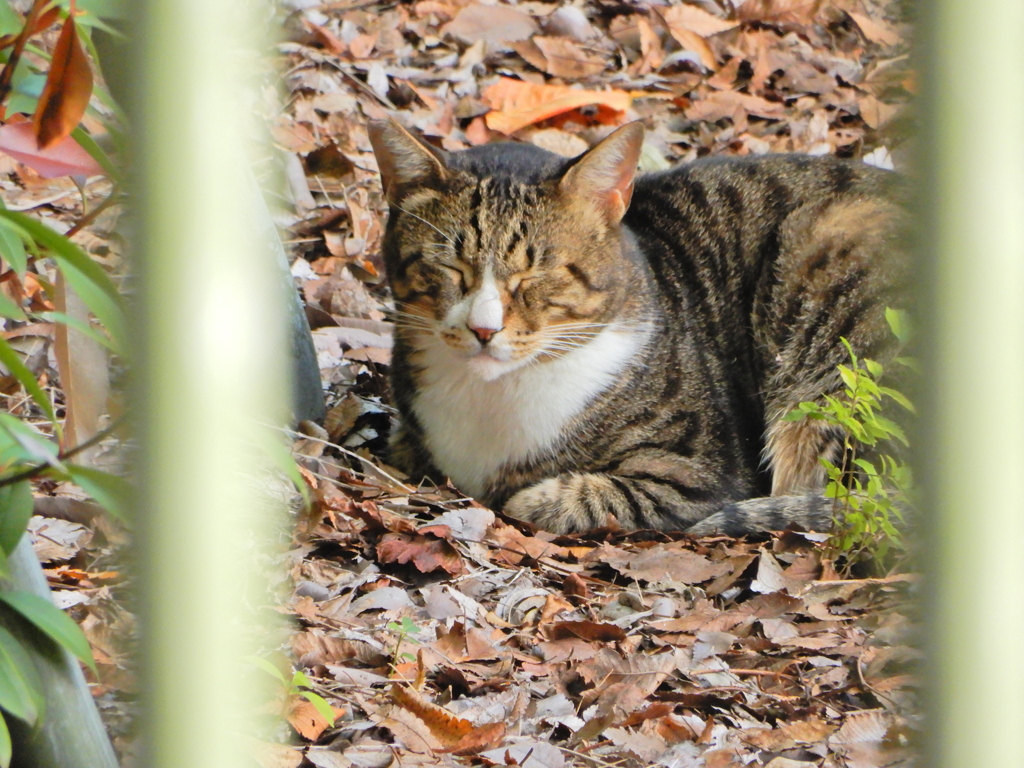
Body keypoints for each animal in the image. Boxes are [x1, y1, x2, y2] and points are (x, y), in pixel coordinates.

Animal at [370, 117, 913, 536]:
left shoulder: (702, 468)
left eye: (536, 273)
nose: (484, 330)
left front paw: (531, 498)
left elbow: (577, 497)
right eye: (450, 268)